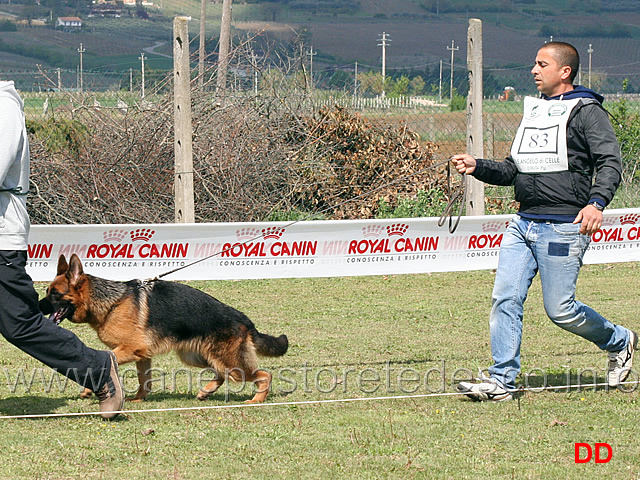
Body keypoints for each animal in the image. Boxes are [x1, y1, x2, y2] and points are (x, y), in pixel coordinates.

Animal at [38, 253, 288, 404]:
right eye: (48, 291)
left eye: (54, 294)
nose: (36, 305)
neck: (112, 303)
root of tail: (244, 320)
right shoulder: (142, 354)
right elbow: (143, 378)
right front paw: (139, 399)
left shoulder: (130, 348)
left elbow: (105, 359)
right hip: (198, 357)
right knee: (220, 374)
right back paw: (205, 391)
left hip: (229, 363)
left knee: (264, 375)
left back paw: (256, 400)